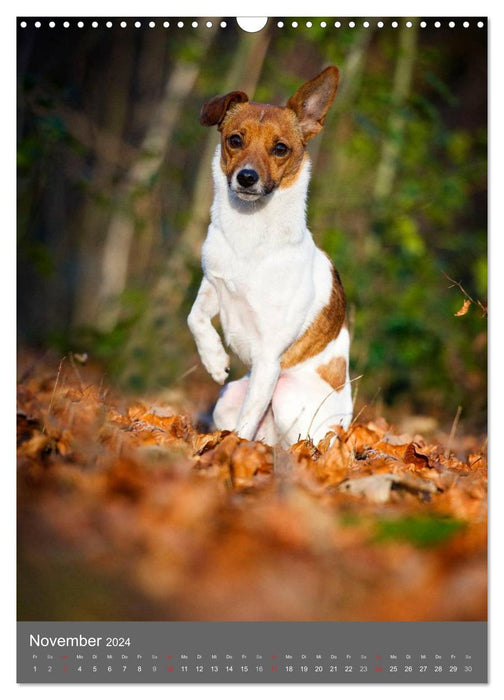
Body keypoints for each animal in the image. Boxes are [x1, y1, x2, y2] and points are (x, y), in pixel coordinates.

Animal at [187, 67, 352, 448]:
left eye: (280, 149)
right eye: (235, 140)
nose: (247, 178)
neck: (249, 236)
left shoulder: (267, 360)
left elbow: (246, 423)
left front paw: (230, 452)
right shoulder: (213, 284)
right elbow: (195, 317)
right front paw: (214, 359)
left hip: (286, 392)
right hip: (229, 396)